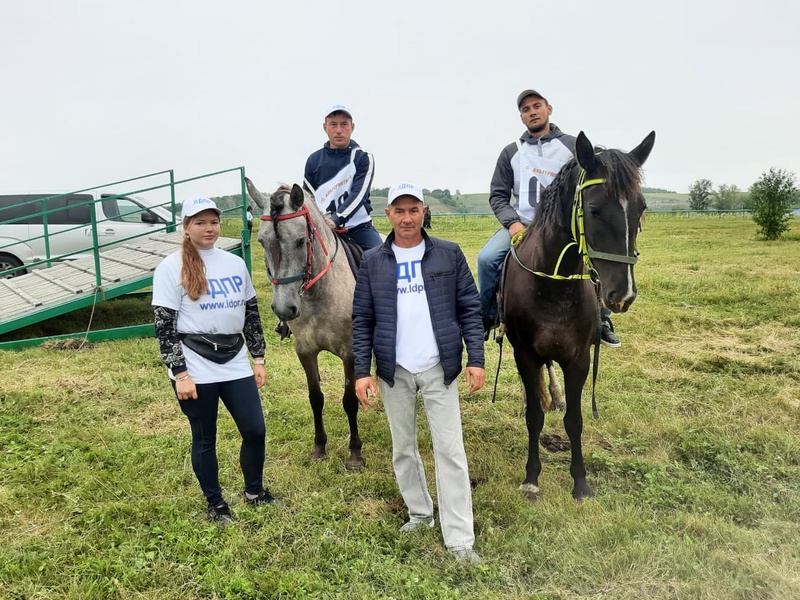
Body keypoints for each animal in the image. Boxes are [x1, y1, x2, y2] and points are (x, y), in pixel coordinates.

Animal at [247, 176, 366, 472]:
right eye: (261, 241)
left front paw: (354, 453)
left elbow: (349, 400)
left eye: (301, 241)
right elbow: (315, 398)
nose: (284, 309)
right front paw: (319, 447)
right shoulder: (305, 351)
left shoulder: (350, 352)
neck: (319, 294)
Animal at [506, 131, 656, 502]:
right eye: (594, 209)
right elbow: (534, 417)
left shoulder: (579, 358)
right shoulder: (525, 354)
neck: (552, 285)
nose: (623, 294)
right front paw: (531, 478)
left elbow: (574, 420)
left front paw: (580, 482)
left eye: (641, 209)